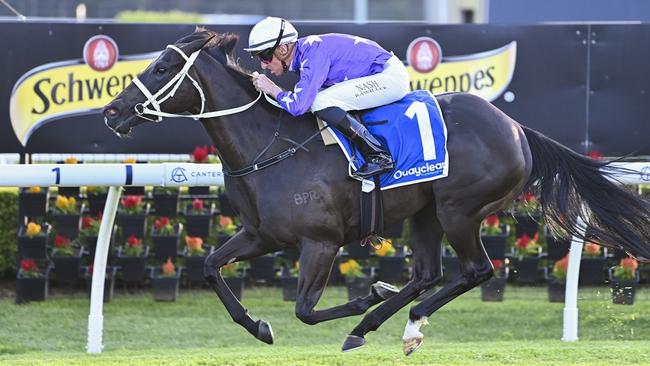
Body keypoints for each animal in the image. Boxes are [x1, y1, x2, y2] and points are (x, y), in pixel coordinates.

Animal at [101, 30, 648, 356]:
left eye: (160, 69)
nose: (112, 112)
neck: (269, 146)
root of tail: (515, 127)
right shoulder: (262, 235)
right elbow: (212, 267)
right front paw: (258, 326)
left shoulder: (320, 242)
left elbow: (305, 309)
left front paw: (365, 294)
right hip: (424, 214)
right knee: (427, 274)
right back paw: (388, 321)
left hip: (459, 211)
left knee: (477, 271)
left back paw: (391, 321)